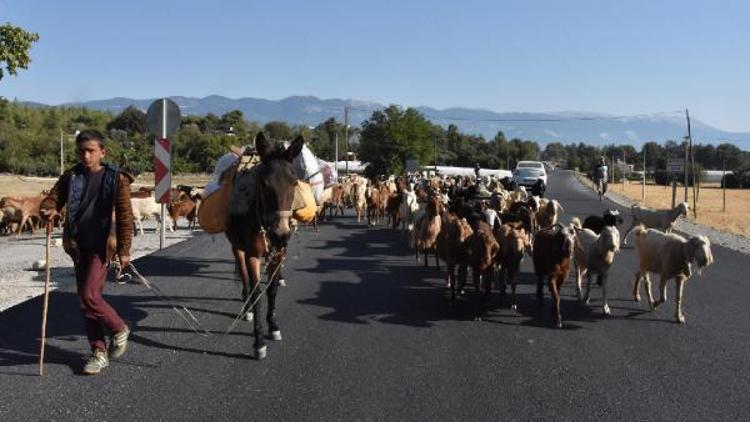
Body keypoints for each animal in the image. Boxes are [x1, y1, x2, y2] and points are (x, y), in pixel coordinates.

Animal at [225, 133, 304, 360]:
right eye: (265, 184)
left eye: (294, 182)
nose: (281, 234)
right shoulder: (252, 254)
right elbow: (257, 293)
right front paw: (258, 341)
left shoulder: (279, 253)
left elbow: (272, 290)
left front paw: (273, 325)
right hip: (237, 248)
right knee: (245, 278)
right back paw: (247, 308)